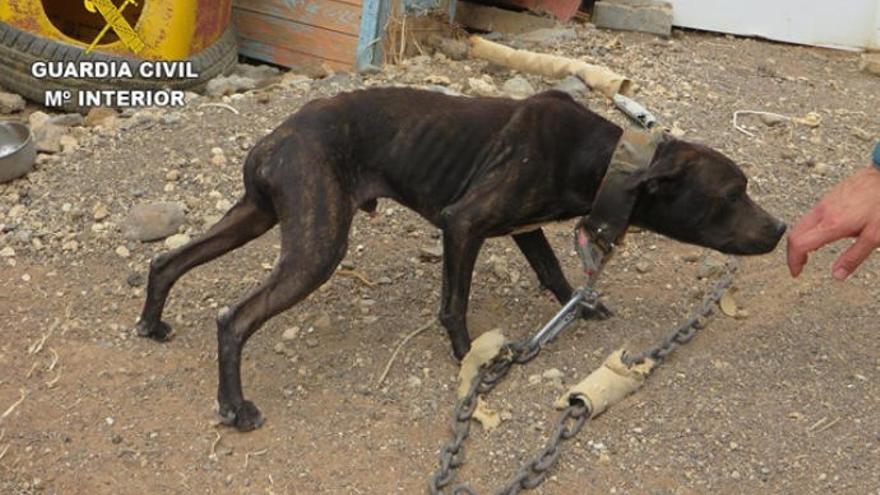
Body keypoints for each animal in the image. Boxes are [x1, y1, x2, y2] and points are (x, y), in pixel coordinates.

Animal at [136, 88, 784, 430]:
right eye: (733, 194)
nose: (779, 229)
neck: (602, 160)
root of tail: (272, 140)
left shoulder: (524, 229)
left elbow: (553, 273)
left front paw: (583, 305)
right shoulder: (462, 224)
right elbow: (455, 305)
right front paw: (471, 361)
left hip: (257, 216)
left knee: (167, 262)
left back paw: (152, 323)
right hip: (318, 245)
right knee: (234, 318)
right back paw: (235, 405)